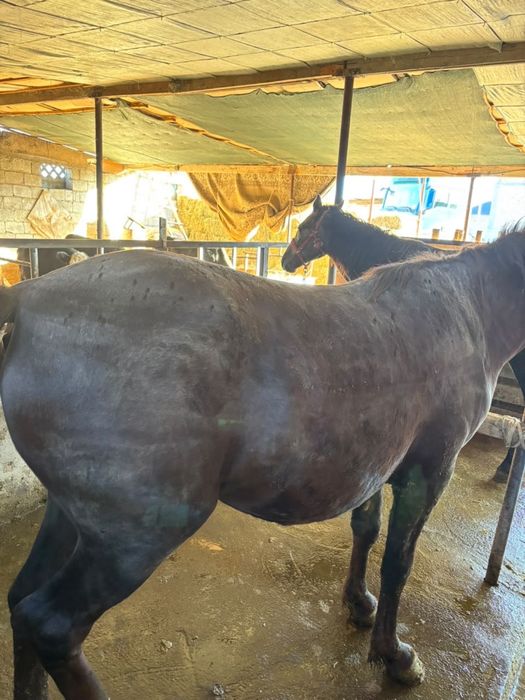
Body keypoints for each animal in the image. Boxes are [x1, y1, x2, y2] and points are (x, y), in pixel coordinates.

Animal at [1, 230, 524, 699]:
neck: (468, 308)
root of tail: (27, 297)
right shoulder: (428, 472)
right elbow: (398, 562)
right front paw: (394, 655)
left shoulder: (377, 464)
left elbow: (366, 530)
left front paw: (359, 603)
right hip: (132, 541)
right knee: (50, 626)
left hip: (72, 517)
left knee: (20, 600)